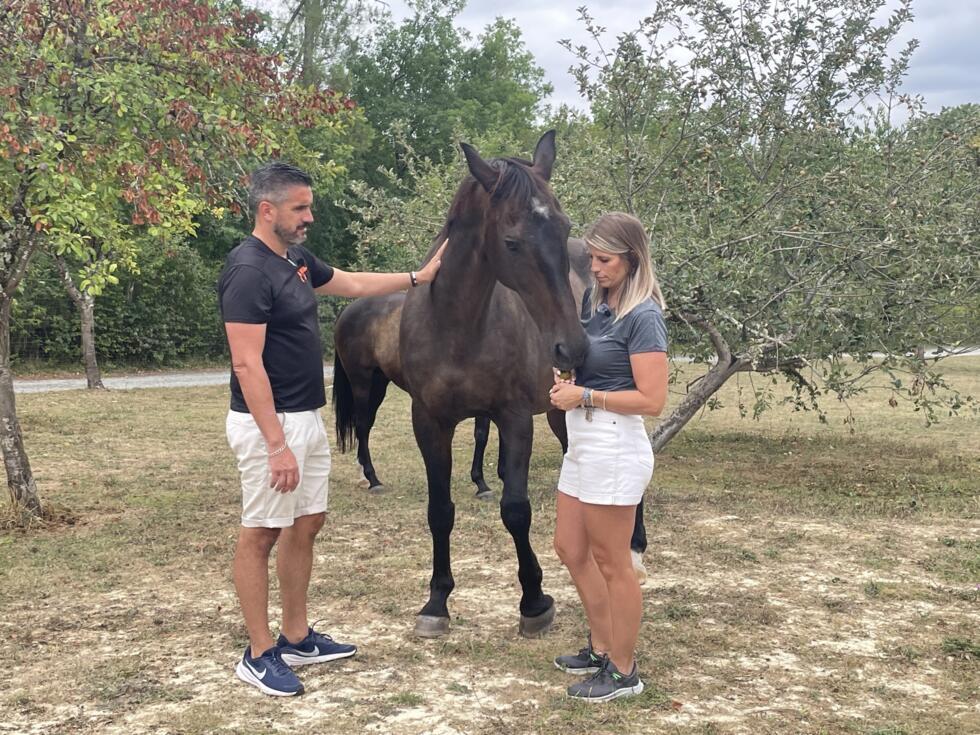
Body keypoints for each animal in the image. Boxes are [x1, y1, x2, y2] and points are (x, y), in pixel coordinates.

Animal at [336, 131, 589, 638]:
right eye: (511, 242)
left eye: (564, 227)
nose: (571, 347)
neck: (456, 325)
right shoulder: (430, 422)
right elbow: (440, 510)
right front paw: (437, 601)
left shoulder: (514, 418)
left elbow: (516, 509)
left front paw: (534, 601)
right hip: (370, 387)